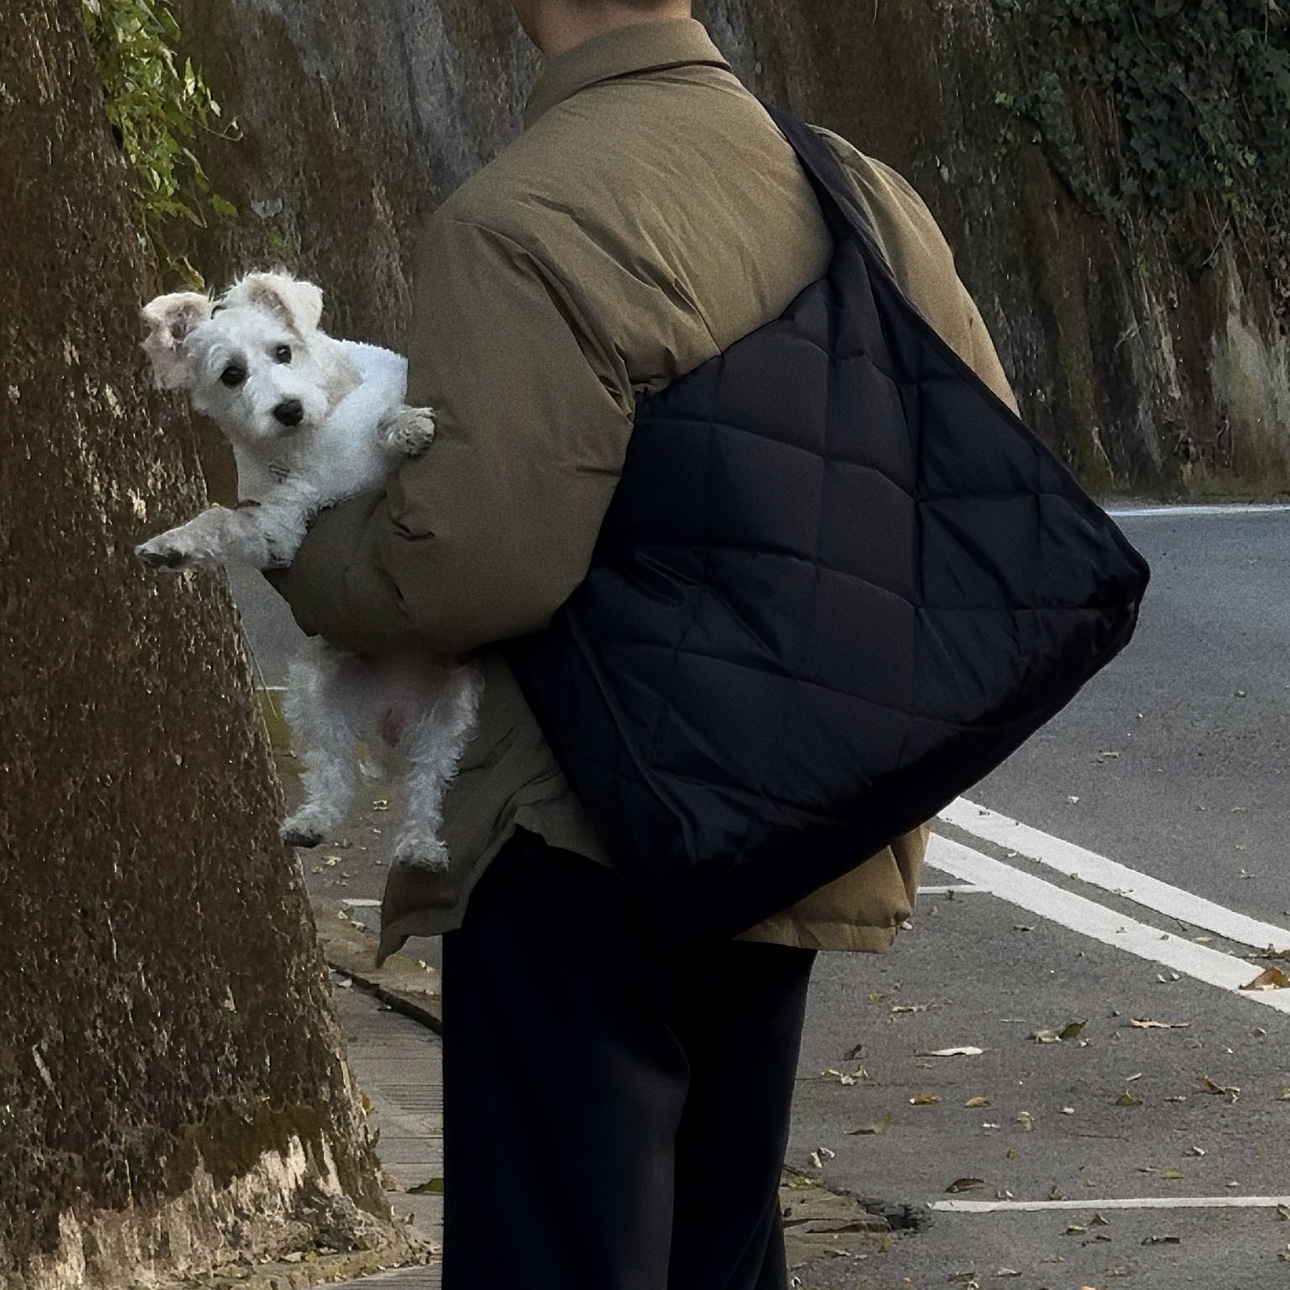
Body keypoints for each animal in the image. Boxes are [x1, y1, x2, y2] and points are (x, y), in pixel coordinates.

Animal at [136, 274, 482, 877]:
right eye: (231, 374)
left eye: (283, 350)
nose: (288, 409)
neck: (309, 445)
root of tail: (389, 715)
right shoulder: (281, 528)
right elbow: (222, 519)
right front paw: (173, 544)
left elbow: (384, 423)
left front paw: (404, 426)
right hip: (315, 696)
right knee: (334, 776)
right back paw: (313, 821)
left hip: (448, 717)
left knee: (425, 787)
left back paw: (420, 845)